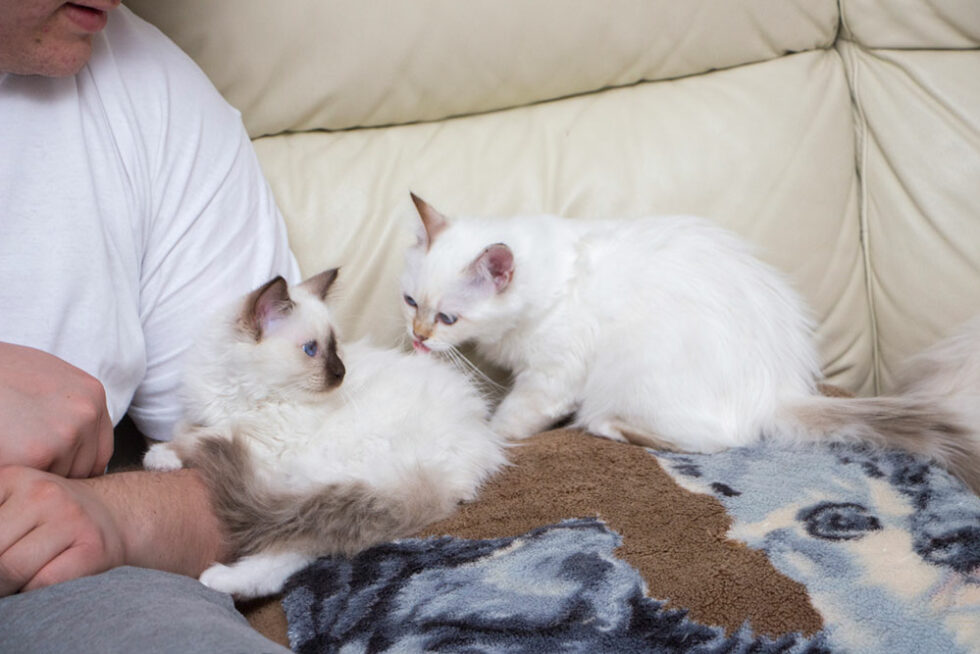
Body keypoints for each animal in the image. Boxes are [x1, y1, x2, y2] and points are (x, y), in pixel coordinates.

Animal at [151, 268, 512, 600]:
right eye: (312, 350)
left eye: (335, 346)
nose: (341, 373)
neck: (247, 396)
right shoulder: (209, 416)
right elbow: (188, 427)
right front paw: (166, 455)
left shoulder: (267, 443)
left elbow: (202, 436)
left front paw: (159, 456)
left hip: (321, 473)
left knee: (301, 543)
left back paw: (222, 580)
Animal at [400, 197, 980, 494]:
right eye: (410, 302)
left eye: (448, 317)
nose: (418, 336)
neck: (557, 278)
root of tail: (782, 388)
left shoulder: (552, 377)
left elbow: (509, 422)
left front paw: (487, 438)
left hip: (633, 382)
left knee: (716, 442)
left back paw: (608, 427)